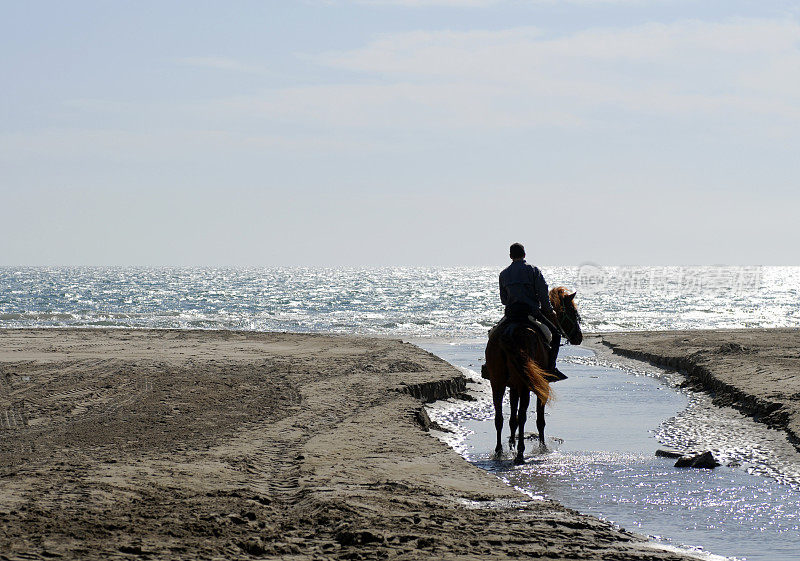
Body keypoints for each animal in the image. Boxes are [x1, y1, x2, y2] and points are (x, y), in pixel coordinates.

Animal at [484, 284, 584, 464]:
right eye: (573, 311)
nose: (579, 337)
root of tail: (511, 330)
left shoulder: (514, 386)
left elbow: (512, 419)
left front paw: (511, 444)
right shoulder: (540, 385)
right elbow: (539, 419)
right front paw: (542, 447)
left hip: (497, 383)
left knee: (499, 417)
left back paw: (499, 451)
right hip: (525, 385)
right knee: (523, 416)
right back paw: (520, 454)